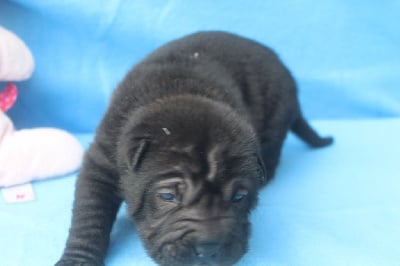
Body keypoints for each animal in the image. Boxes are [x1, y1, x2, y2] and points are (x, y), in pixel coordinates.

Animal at [55, 31, 332, 266]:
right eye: (168, 197)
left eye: (239, 197)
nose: (208, 249)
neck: (178, 91)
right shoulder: (103, 160)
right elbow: (89, 216)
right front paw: (77, 259)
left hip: (277, 115)